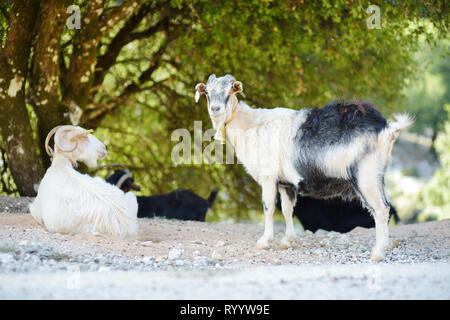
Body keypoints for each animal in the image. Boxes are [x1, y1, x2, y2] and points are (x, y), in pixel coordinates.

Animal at [195, 74, 414, 260]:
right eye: (207, 93)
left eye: (230, 91)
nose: (216, 109)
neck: (250, 125)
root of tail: (388, 128)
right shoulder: (285, 183)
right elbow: (286, 209)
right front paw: (287, 241)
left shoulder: (268, 177)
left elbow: (268, 207)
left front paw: (264, 242)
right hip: (378, 176)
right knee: (386, 206)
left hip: (365, 177)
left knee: (381, 209)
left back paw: (377, 252)